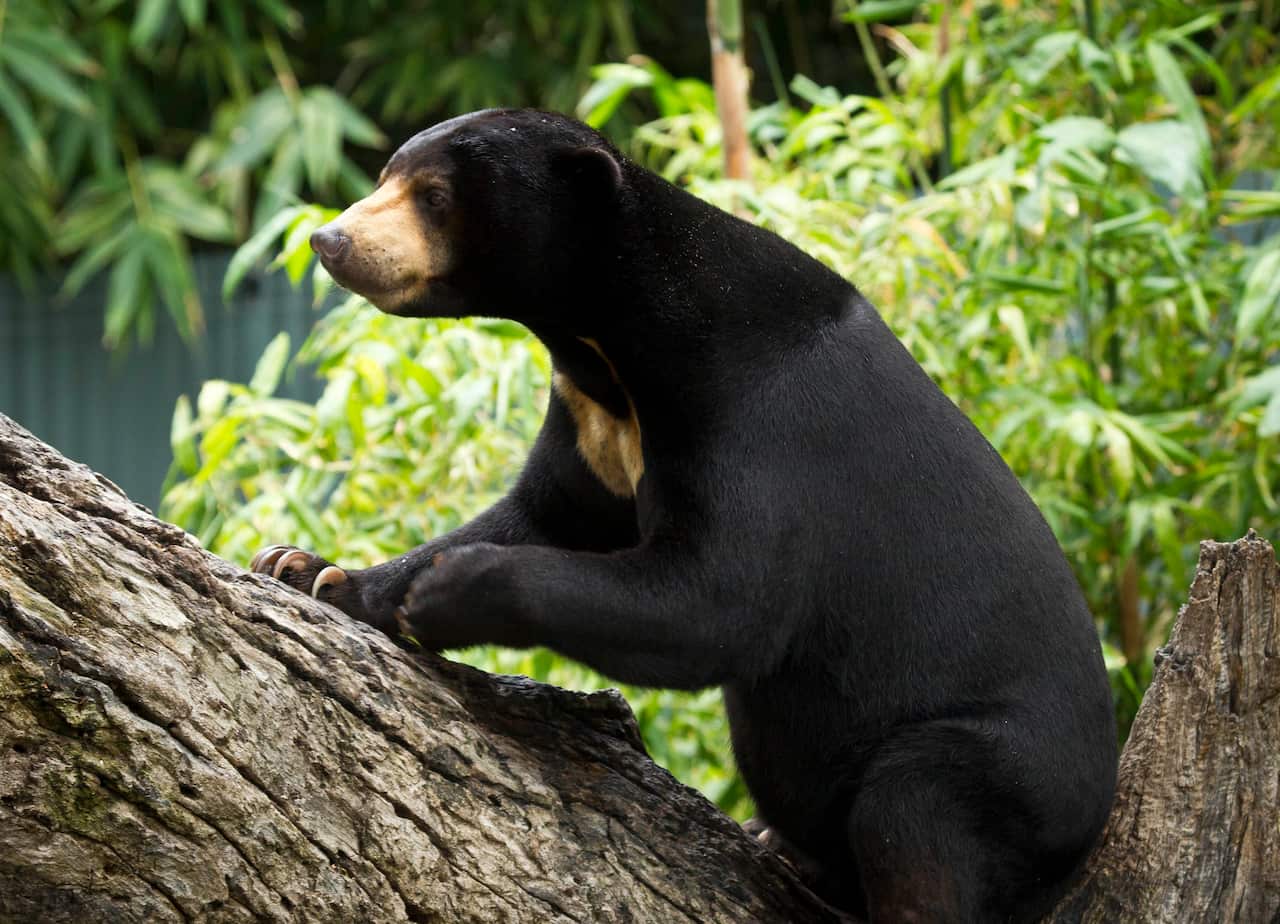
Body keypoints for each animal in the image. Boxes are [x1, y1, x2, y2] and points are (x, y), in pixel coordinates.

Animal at [251, 108, 1117, 922]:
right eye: (388, 175)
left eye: (435, 197)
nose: (329, 240)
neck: (607, 341)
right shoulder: (593, 423)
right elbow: (548, 512)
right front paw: (309, 570)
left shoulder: (758, 419)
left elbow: (717, 603)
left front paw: (442, 591)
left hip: (1007, 770)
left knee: (916, 814)